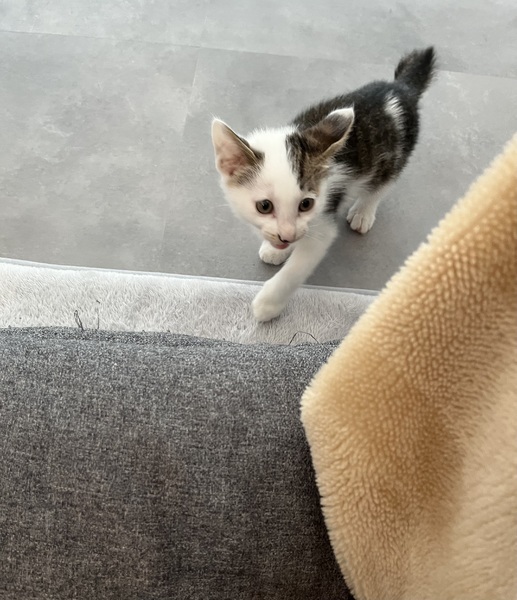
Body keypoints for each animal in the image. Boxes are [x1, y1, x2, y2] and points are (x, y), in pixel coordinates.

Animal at [211, 47, 436, 322]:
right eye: (264, 206)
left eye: (306, 204)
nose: (286, 236)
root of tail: (399, 88)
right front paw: (276, 250)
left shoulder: (324, 220)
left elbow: (298, 267)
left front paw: (268, 304)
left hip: (395, 156)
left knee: (382, 184)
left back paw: (364, 212)